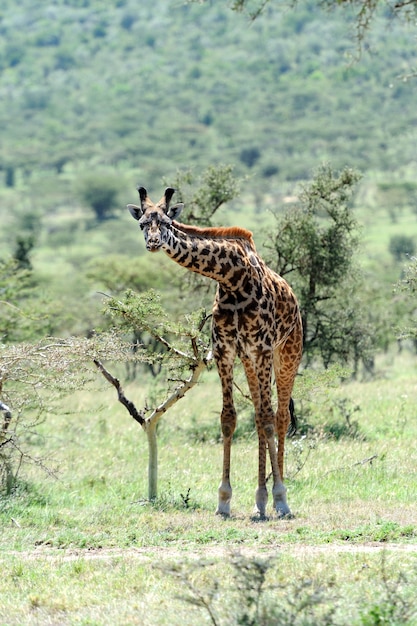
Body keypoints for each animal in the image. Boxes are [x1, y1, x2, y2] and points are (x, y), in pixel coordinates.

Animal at [127, 185, 302, 516]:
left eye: (166, 222)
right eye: (142, 223)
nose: (153, 243)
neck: (232, 277)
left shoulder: (261, 348)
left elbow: (265, 418)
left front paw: (273, 497)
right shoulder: (226, 350)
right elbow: (229, 418)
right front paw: (225, 500)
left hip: (287, 354)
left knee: (279, 416)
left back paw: (278, 499)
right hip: (249, 360)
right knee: (262, 414)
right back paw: (266, 497)